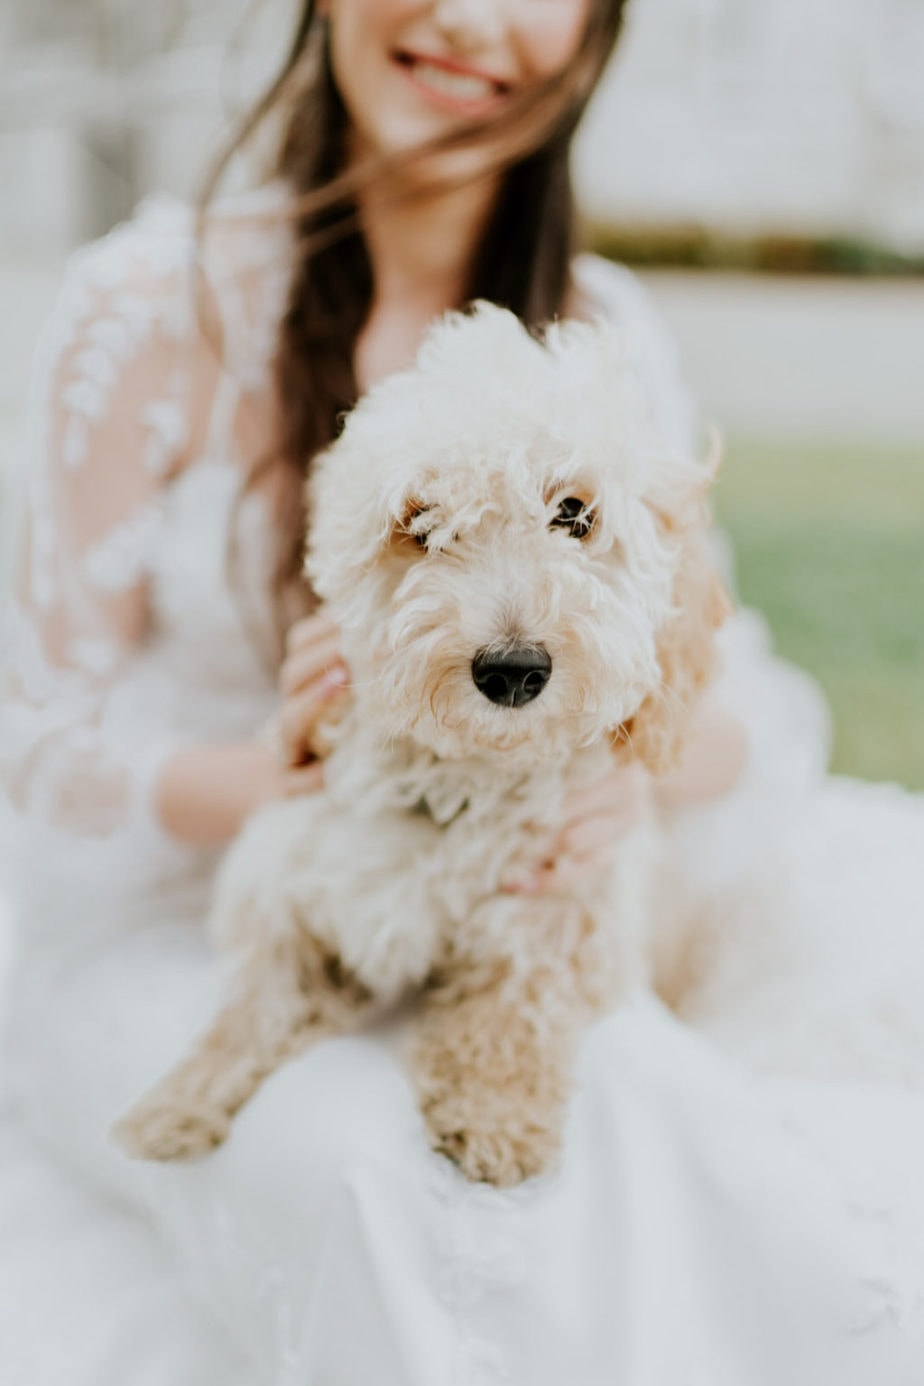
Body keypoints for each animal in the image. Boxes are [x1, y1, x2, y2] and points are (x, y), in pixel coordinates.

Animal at [112, 300, 725, 1180]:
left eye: (574, 513)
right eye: (422, 522)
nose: (513, 670)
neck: (459, 786)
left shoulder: (565, 907)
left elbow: (515, 1005)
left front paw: (494, 1114)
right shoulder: (293, 887)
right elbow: (254, 1003)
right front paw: (175, 1103)